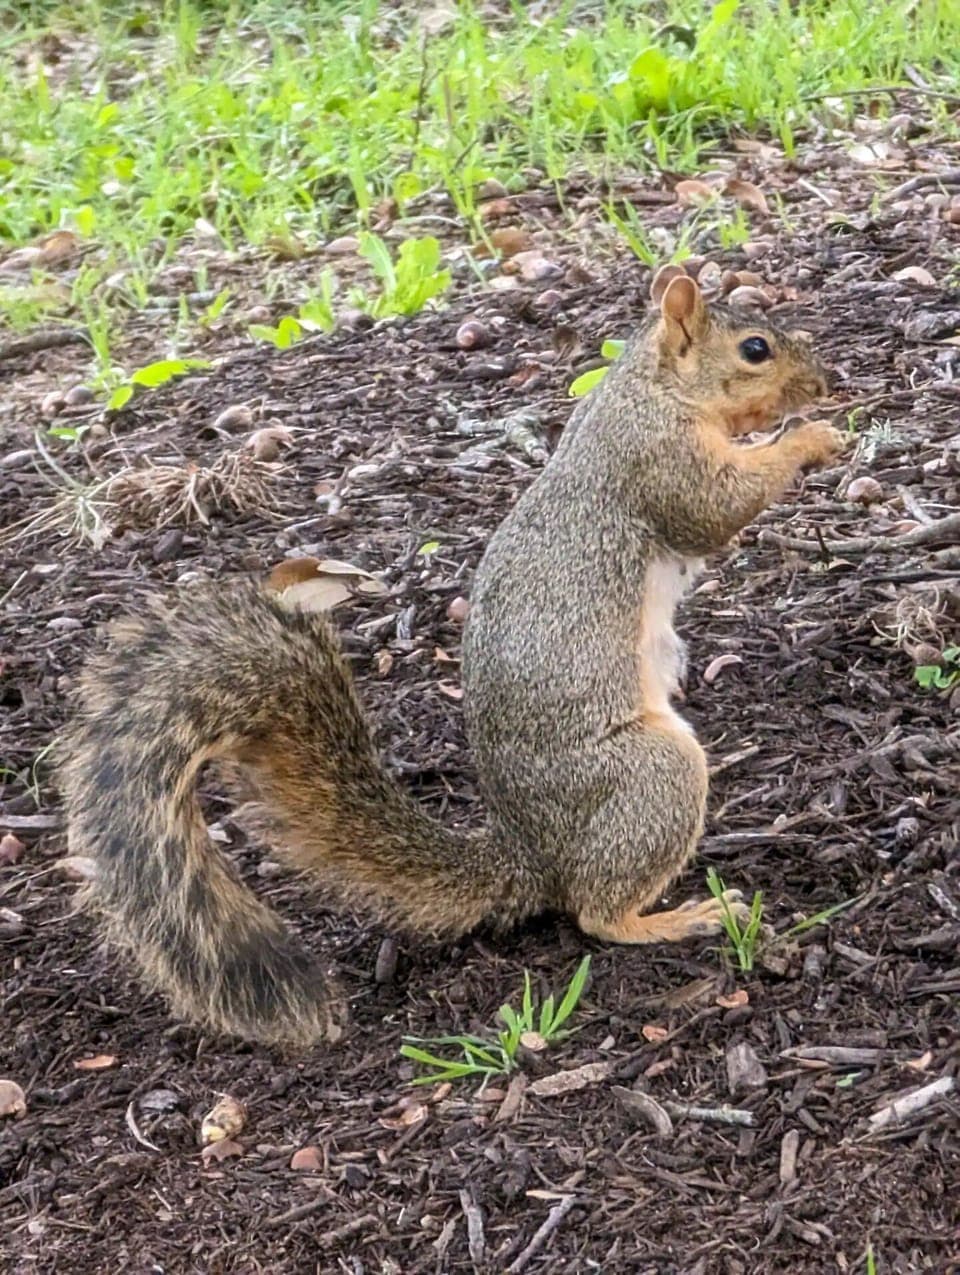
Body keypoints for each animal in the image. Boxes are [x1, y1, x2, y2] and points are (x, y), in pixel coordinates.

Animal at [60, 265, 848, 1047]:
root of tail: (531, 855)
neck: (649, 388)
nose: (825, 382)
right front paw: (812, 438)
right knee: (595, 912)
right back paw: (678, 917)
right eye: (754, 349)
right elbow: (716, 506)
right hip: (649, 772)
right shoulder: (658, 459)